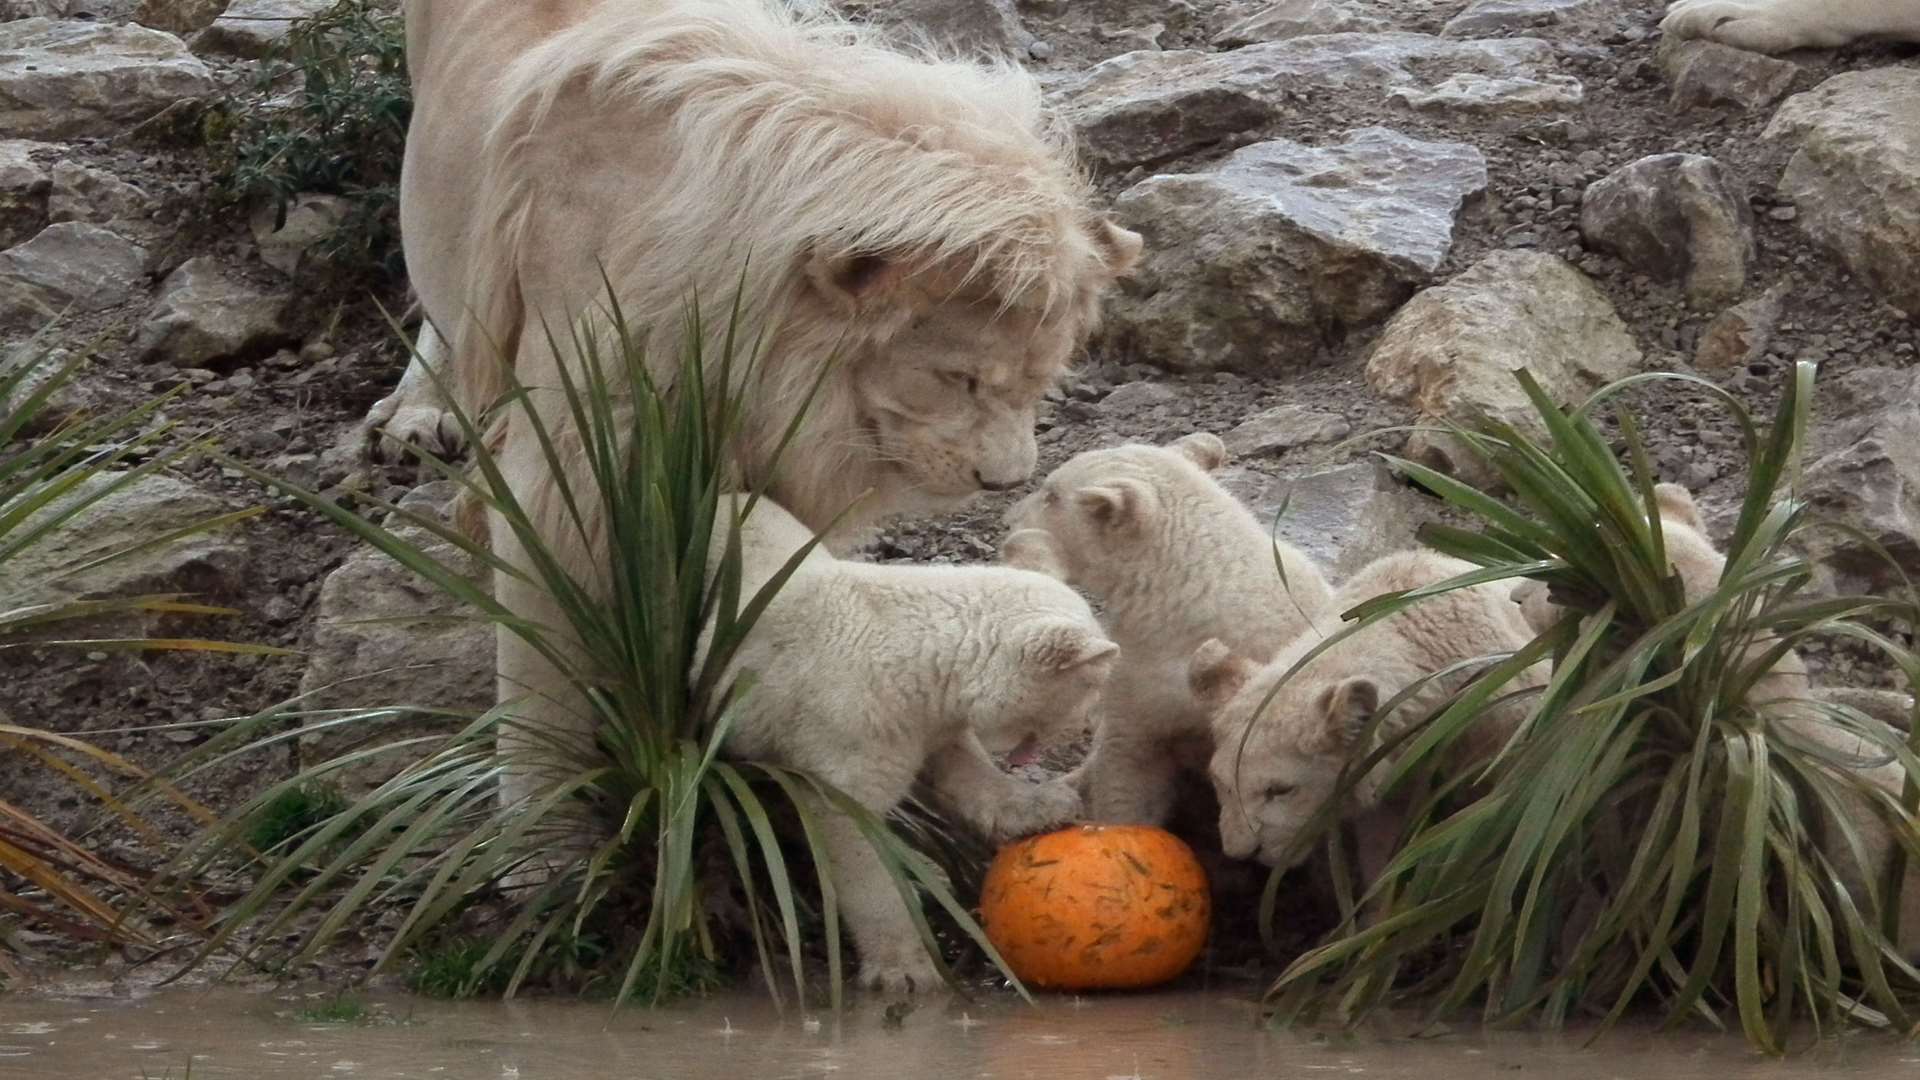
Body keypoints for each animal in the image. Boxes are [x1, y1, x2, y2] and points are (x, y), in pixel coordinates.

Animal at [384, 0, 1144, 864]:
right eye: (959, 378)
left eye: (1041, 380)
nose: (1006, 482)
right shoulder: (564, 476)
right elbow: (540, 687)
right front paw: (540, 850)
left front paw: (997, 797)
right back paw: (420, 410)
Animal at [710, 491, 1121, 991]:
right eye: (1092, 689)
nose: (1085, 730)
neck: (906, 646)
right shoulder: (846, 718)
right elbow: (852, 830)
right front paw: (905, 970)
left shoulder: (924, 717)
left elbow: (961, 766)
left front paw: (1044, 806)